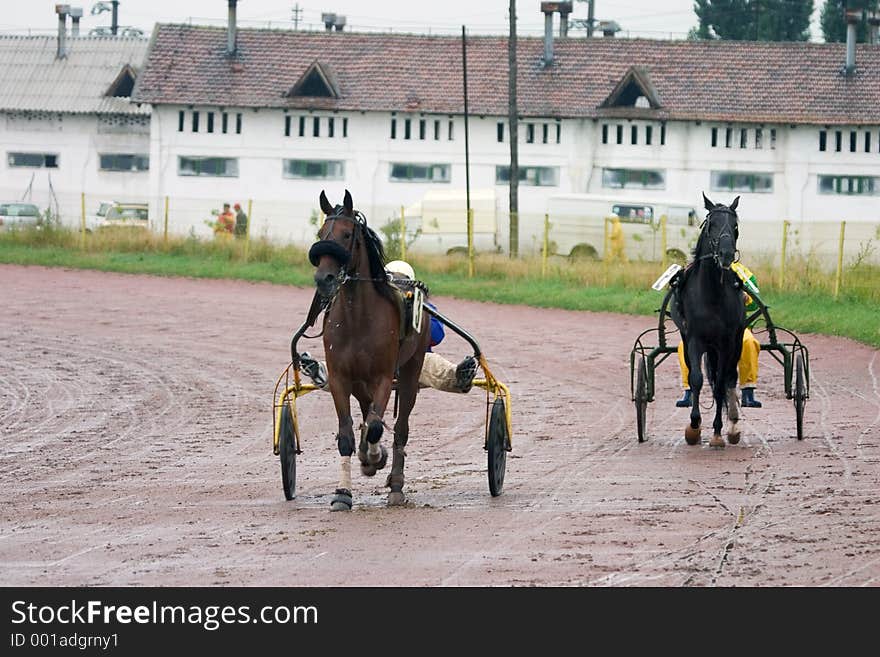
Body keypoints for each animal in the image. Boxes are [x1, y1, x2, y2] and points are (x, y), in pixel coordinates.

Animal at [310, 187, 434, 510]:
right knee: (367, 414)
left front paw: (376, 456)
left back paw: (395, 484)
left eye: (346, 234)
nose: (324, 279)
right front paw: (343, 492)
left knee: (400, 428)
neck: (358, 319)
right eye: (321, 233)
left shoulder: (383, 377)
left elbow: (378, 426)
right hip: (360, 383)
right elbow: (347, 435)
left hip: (410, 371)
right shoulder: (341, 378)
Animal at [672, 192, 744, 448]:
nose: (726, 254)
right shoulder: (695, 339)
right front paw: (694, 426)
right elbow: (696, 378)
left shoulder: (726, 342)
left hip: (734, 343)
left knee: (729, 377)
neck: (712, 294)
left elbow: (721, 382)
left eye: (735, 226)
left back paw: (732, 423)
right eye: (712, 225)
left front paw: (718, 431)